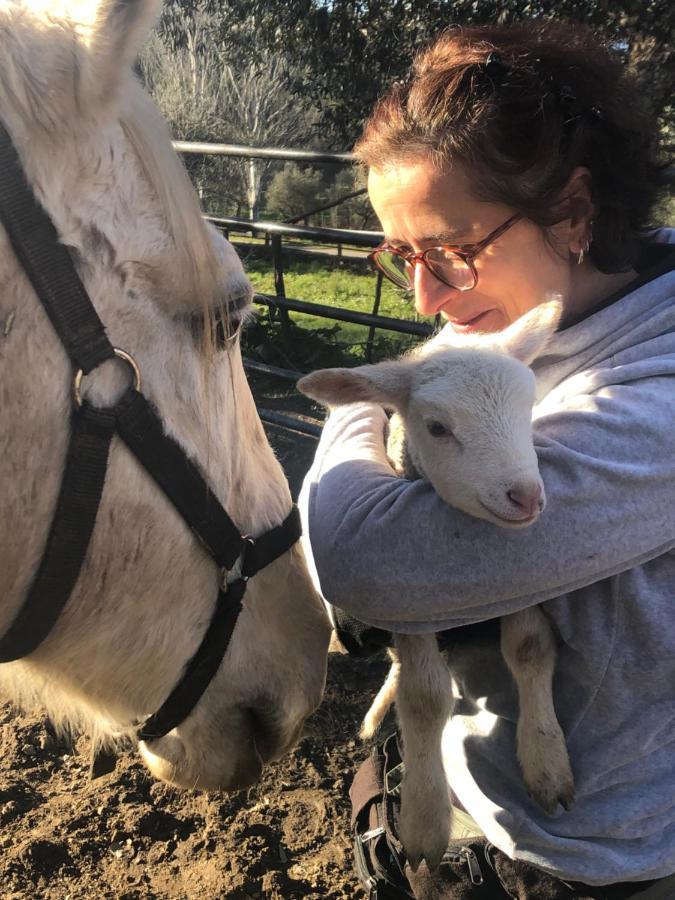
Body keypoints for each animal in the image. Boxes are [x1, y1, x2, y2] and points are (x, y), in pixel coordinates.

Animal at [300, 302, 576, 872]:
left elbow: (530, 647)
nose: (527, 497)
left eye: (530, 408)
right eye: (437, 427)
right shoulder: (409, 606)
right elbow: (425, 697)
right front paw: (424, 822)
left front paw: (547, 762)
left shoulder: (523, 580)